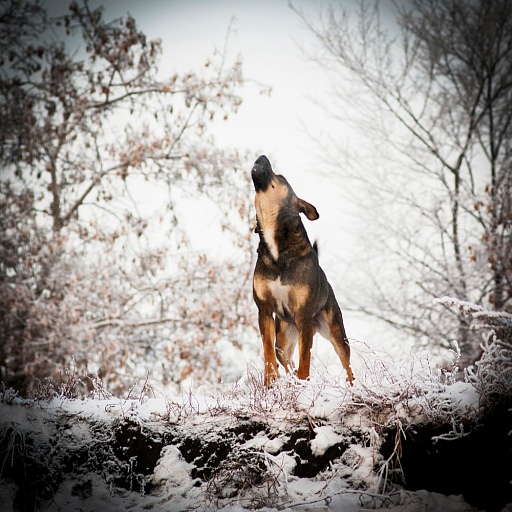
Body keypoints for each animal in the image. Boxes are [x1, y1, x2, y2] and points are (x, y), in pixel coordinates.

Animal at [250, 154, 354, 386]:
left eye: (280, 177)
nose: (261, 156)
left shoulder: (304, 315)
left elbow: (305, 359)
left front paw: (304, 382)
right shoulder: (265, 310)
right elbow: (268, 353)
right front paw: (270, 382)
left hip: (334, 330)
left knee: (347, 364)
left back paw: (353, 387)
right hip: (284, 334)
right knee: (285, 360)